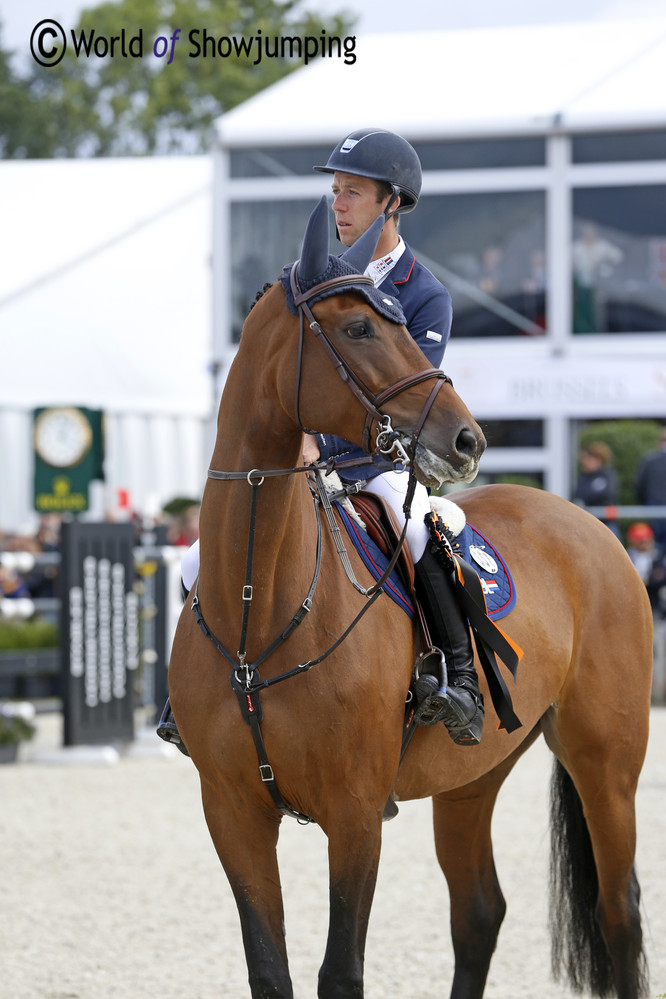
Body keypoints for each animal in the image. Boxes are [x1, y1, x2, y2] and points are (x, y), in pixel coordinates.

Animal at [166, 199, 648, 999]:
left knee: (620, 912)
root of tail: (588, 523)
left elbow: (341, 971)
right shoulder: (232, 813)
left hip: (605, 760)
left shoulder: (356, 813)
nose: (468, 439)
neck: (258, 614)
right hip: (473, 776)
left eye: (408, 325)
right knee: (480, 911)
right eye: (359, 328)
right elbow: (270, 970)